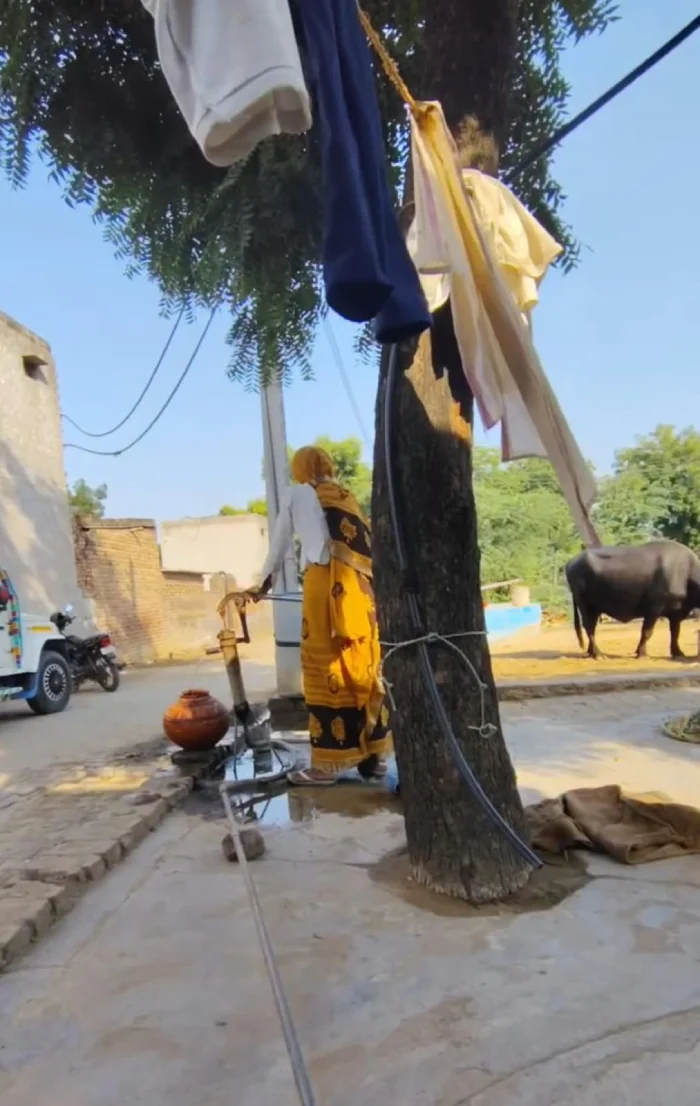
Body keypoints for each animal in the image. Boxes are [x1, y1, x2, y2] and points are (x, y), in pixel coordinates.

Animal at [565, 540, 700, 660]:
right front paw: (642, 654)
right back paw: (598, 654)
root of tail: (571, 562)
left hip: (595, 608)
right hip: (585, 605)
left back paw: (591, 652)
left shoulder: (675, 613)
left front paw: (678, 652)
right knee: (588, 627)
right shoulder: (653, 609)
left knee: (591, 627)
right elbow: (647, 632)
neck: (685, 575)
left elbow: (675, 633)